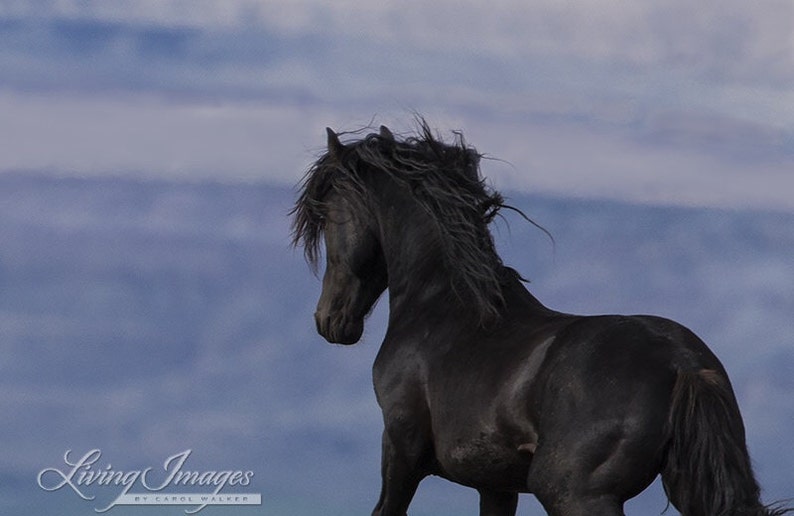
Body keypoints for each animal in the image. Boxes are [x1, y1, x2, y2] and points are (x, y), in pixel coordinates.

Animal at [290, 122, 784, 516]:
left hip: (570, 491)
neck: (443, 307)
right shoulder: (494, 482)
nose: (330, 320)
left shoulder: (400, 446)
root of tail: (682, 363)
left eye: (327, 216)